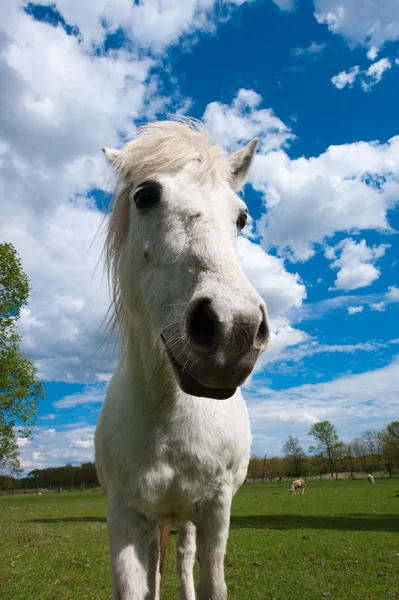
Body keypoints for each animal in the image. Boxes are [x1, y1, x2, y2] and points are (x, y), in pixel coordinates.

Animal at [94, 120, 268, 600]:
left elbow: (210, 583)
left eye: (241, 217)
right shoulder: (126, 513)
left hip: (188, 517)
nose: (233, 329)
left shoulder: (214, 508)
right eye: (145, 196)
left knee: (185, 560)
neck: (168, 414)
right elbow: (138, 585)